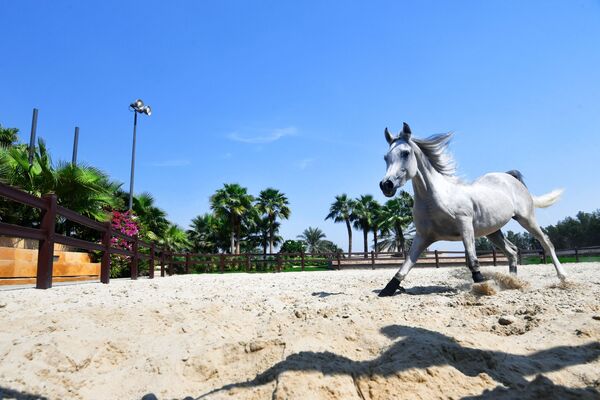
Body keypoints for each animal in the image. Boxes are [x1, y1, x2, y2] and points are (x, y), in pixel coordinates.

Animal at [380, 122, 568, 296]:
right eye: (385, 157)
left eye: (405, 153)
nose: (386, 185)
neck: (434, 199)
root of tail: (510, 177)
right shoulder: (423, 236)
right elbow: (405, 265)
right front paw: (387, 289)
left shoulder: (465, 225)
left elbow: (472, 259)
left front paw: (483, 285)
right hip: (493, 231)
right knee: (512, 252)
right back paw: (513, 282)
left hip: (526, 219)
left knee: (546, 243)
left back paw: (563, 278)